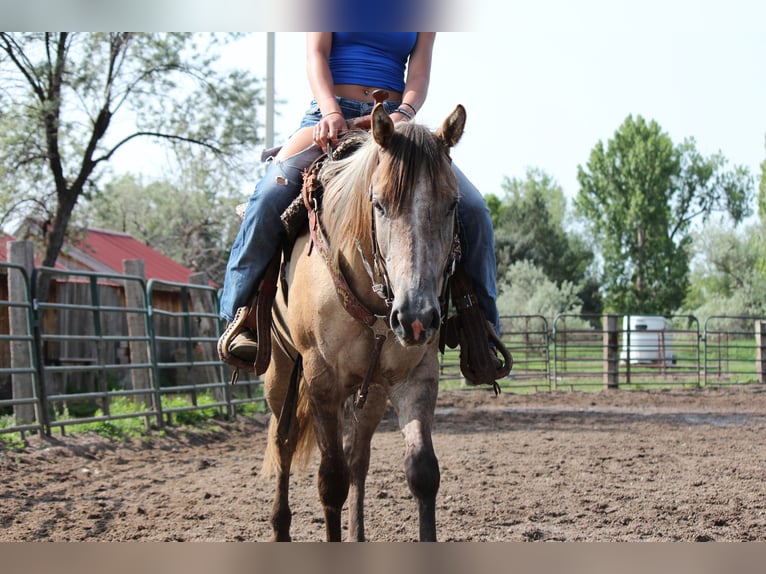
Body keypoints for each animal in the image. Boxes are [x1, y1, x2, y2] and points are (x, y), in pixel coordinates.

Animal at [260, 102, 466, 542]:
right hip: (281, 371)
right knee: (285, 442)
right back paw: (280, 526)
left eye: (452, 204)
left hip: (370, 391)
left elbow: (422, 472)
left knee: (358, 456)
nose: (416, 317)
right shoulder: (321, 381)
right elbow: (331, 482)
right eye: (379, 203)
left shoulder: (415, 375)